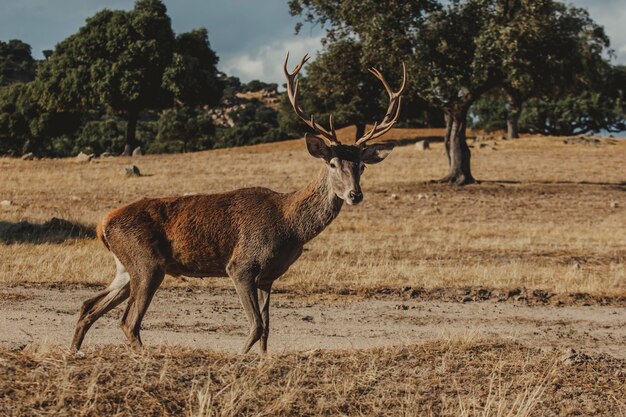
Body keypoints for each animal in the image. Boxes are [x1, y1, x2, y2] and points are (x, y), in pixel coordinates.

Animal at [72, 53, 404, 354]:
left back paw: (75, 350)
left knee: (88, 305)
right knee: (128, 322)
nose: (355, 195)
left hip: (126, 267)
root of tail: (102, 225)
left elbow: (268, 329)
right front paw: (239, 358)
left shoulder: (268, 277)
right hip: (147, 262)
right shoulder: (241, 265)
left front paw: (262, 361)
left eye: (362, 166)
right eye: (333, 163)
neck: (290, 228)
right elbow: (256, 326)